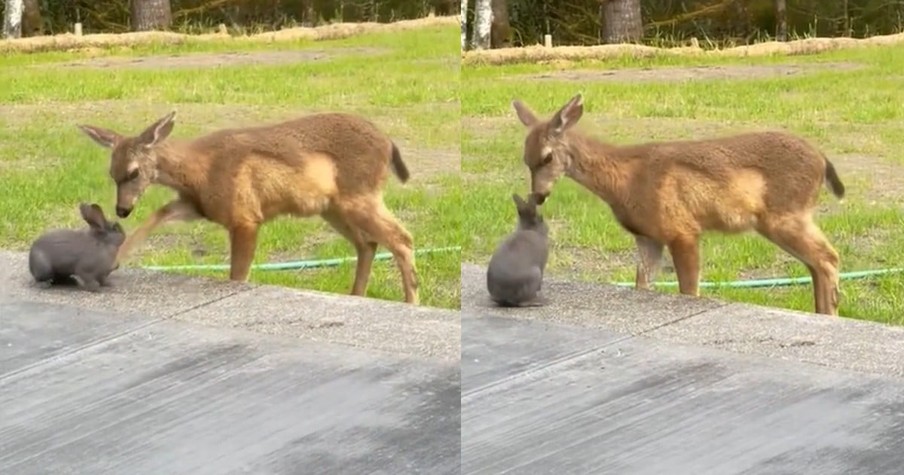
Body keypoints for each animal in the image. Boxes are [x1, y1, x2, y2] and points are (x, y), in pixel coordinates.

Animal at [77, 110, 420, 304]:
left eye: (134, 172)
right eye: (112, 174)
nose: (121, 209)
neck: (200, 171)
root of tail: (389, 143)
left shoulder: (244, 217)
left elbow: (237, 276)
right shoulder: (198, 206)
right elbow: (158, 214)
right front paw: (113, 259)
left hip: (359, 195)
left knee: (402, 238)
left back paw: (410, 302)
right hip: (332, 207)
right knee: (369, 243)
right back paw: (356, 296)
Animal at [512, 93, 844, 316]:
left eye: (547, 157)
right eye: (526, 159)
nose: (538, 195)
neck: (625, 180)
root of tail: (823, 161)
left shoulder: (681, 229)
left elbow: (689, 290)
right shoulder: (648, 237)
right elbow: (642, 284)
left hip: (784, 214)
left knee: (829, 257)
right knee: (817, 263)